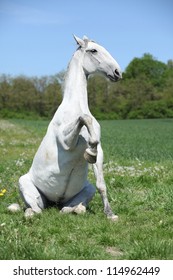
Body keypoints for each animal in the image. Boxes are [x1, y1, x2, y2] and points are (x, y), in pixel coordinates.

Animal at [16, 35, 121, 220]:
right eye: (93, 50)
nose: (117, 72)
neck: (76, 106)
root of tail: (54, 202)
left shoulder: (101, 151)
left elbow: (101, 184)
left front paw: (110, 215)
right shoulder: (67, 142)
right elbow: (84, 118)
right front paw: (89, 152)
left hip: (84, 190)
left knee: (68, 208)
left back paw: (76, 209)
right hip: (25, 185)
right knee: (35, 209)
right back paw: (28, 212)